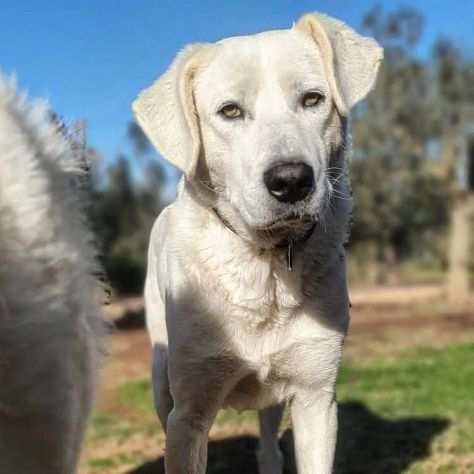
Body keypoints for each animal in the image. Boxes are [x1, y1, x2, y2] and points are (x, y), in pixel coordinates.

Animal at [134, 12, 382, 474]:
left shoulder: (317, 398)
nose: (292, 180)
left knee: (268, 446)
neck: (264, 266)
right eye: (230, 111)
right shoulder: (188, 414)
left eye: (313, 99)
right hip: (161, 379)